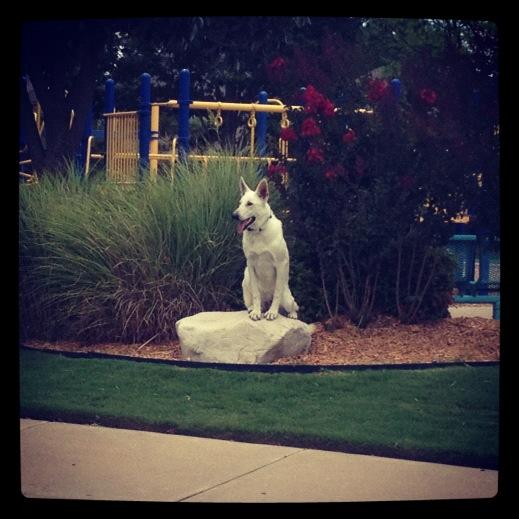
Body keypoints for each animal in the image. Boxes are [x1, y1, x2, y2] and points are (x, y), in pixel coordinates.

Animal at [233, 177, 300, 318]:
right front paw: (256, 312)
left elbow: (277, 293)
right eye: (240, 203)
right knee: (255, 302)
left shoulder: (280, 264)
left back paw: (290, 314)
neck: (259, 231)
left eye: (249, 204)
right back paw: (253, 308)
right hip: (245, 280)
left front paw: (272, 312)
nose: (234, 215)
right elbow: (256, 294)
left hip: (288, 299)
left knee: (293, 306)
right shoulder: (251, 264)